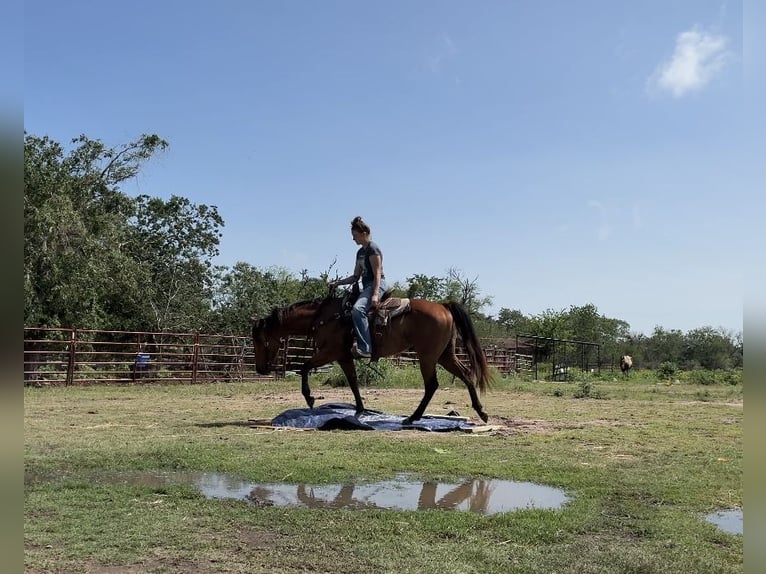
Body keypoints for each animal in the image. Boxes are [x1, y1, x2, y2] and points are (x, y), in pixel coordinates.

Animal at [251, 295, 492, 425]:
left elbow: (304, 367)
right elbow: (353, 382)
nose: (260, 369)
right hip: (444, 356)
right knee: (467, 375)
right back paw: (481, 412)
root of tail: (443, 306)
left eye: (259, 340)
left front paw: (310, 398)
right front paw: (360, 410)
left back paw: (412, 418)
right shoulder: (343, 357)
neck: (324, 317)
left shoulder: (330, 353)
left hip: (428, 357)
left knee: (432, 385)